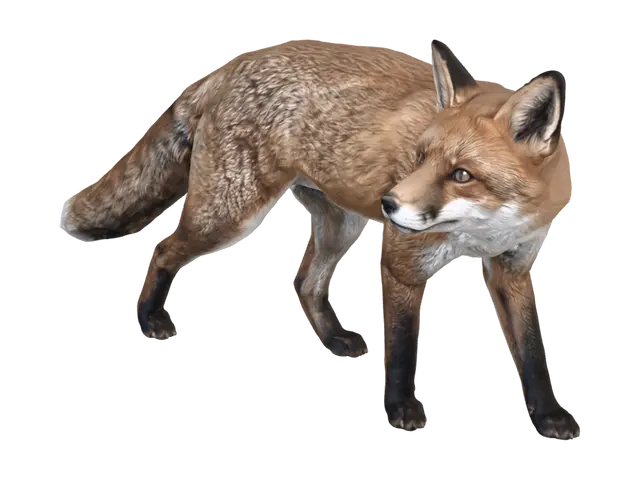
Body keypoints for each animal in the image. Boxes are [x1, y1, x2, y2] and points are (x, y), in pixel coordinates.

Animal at [58, 38, 580, 440]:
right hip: (228, 215)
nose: (389, 204)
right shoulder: (403, 261)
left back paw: (332, 338)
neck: (484, 230)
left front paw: (550, 416)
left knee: (305, 280)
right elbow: (403, 347)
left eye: (462, 175)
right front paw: (402, 411)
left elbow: (531, 350)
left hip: (339, 227)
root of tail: (236, 62)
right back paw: (151, 319)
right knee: (163, 249)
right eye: (418, 157)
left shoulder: (514, 269)